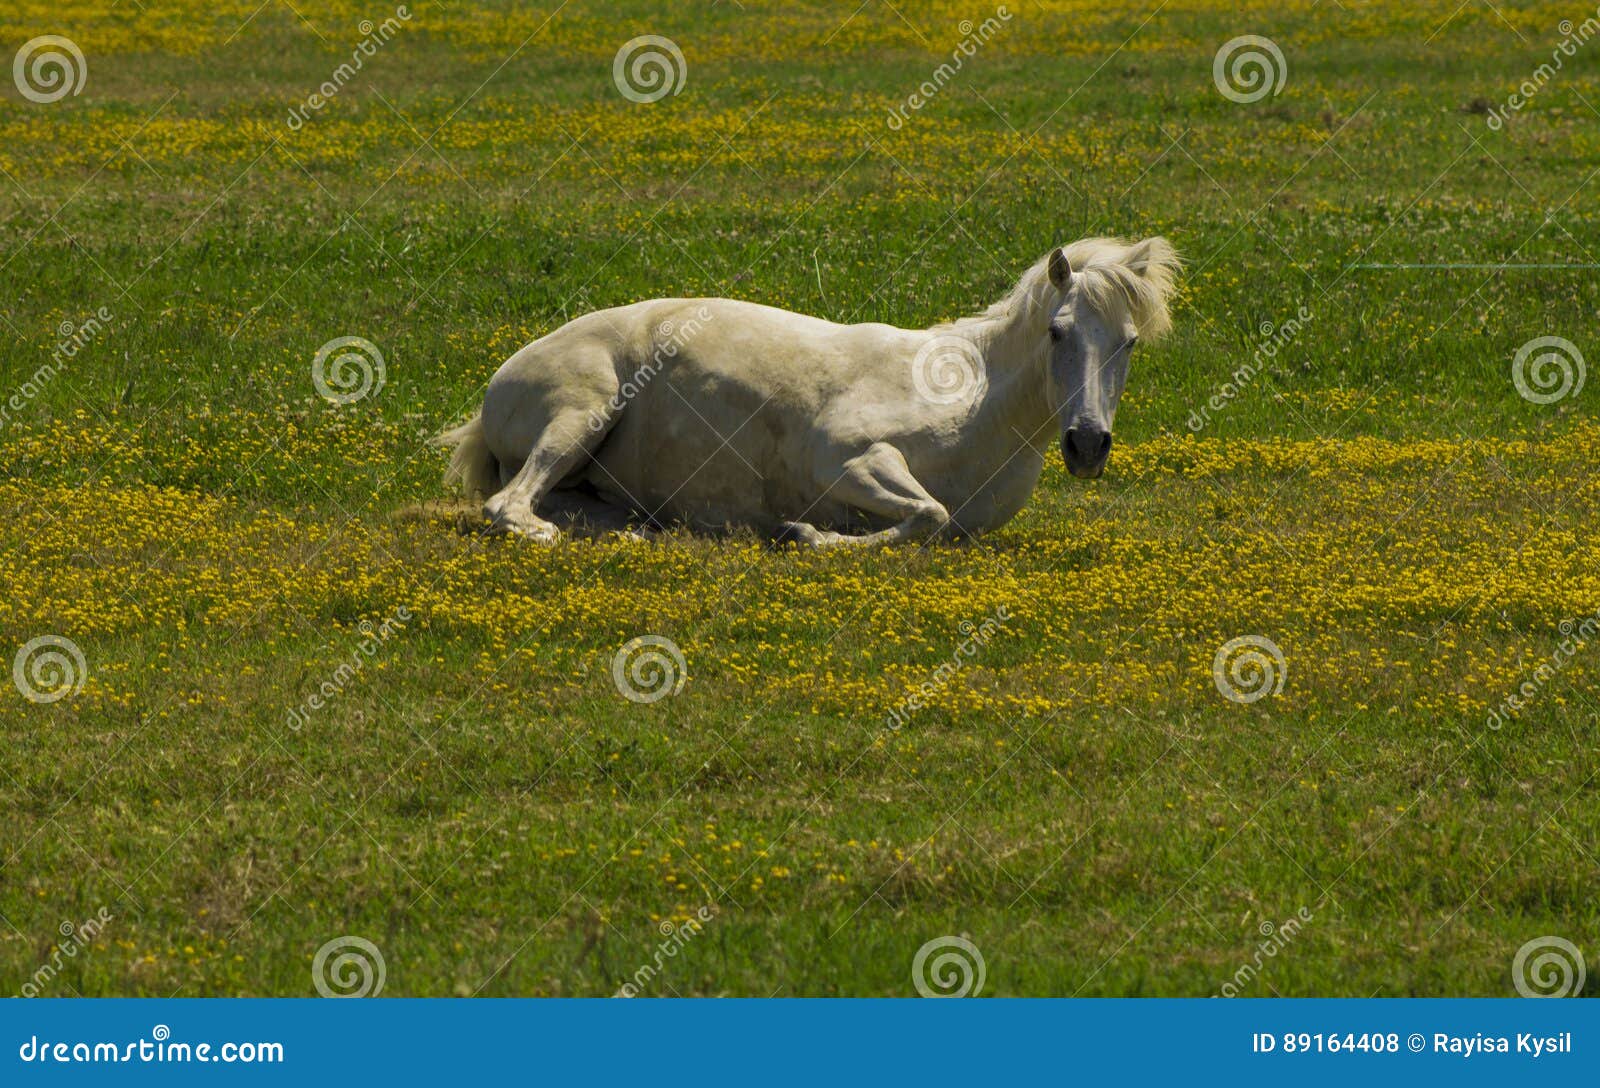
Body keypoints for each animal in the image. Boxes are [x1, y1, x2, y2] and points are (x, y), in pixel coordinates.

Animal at [433, 236, 1179, 545]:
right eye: (1056, 332)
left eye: (1129, 343)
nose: (1087, 445)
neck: (977, 402)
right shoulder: (847, 458)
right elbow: (928, 514)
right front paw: (808, 534)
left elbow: (933, 521)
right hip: (581, 415)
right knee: (507, 505)